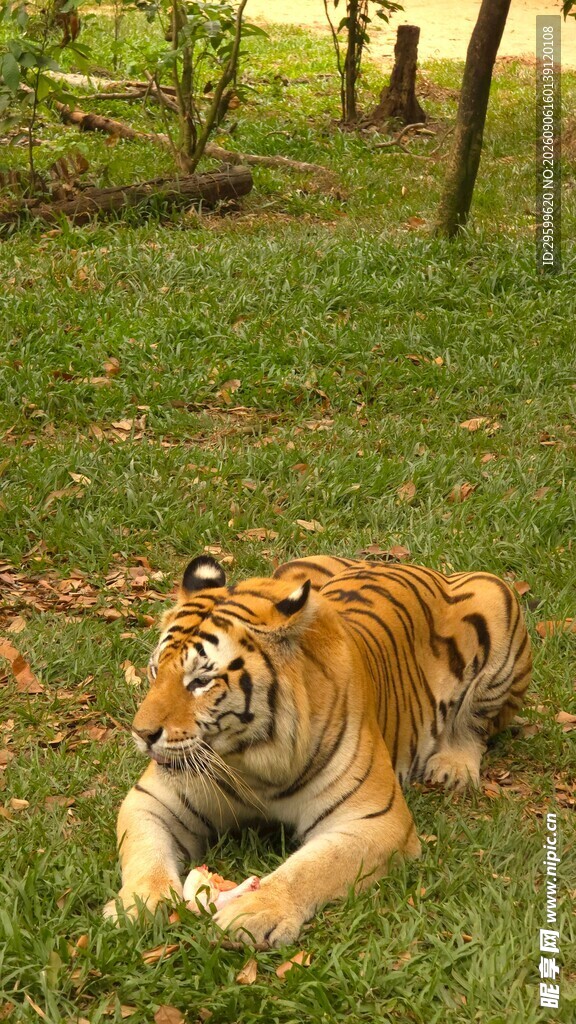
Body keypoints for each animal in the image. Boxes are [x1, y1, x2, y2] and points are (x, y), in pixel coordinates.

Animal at [104, 553, 532, 946]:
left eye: (200, 681)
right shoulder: (153, 799)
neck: (253, 765)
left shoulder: (375, 820)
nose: (142, 733)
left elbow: (312, 869)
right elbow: (145, 854)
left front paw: (256, 912)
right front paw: (138, 904)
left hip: (497, 600)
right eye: (155, 670)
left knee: (475, 725)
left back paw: (453, 767)